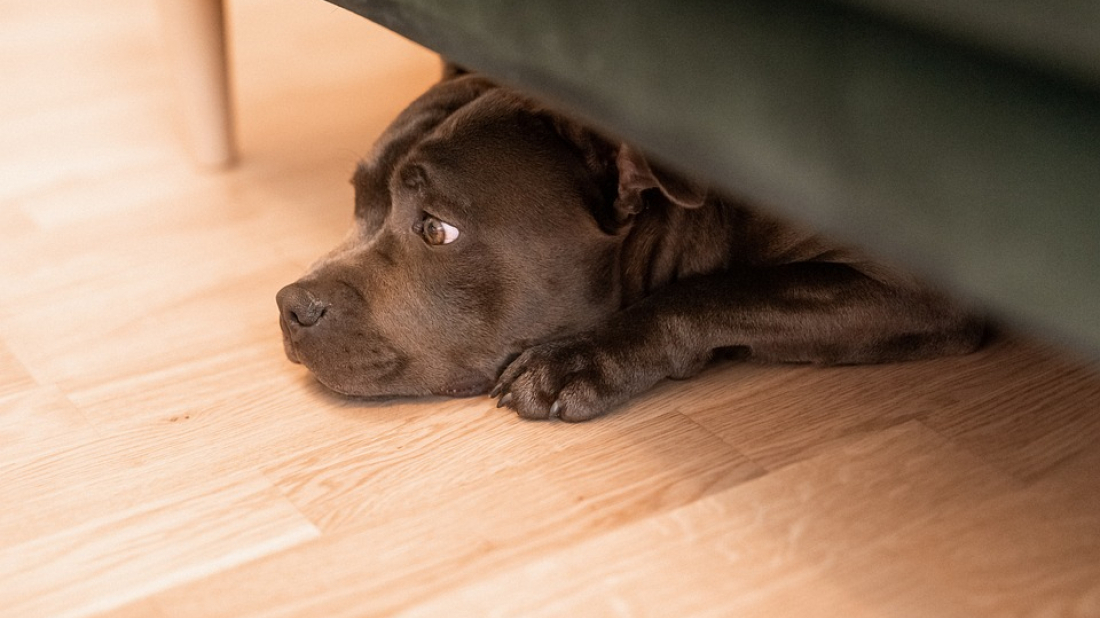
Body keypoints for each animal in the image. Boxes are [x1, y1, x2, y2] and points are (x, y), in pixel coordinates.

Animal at [277, 68, 985, 421]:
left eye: (436, 229)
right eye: (359, 201)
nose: (289, 305)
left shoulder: (915, 290)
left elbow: (724, 291)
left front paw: (580, 359)